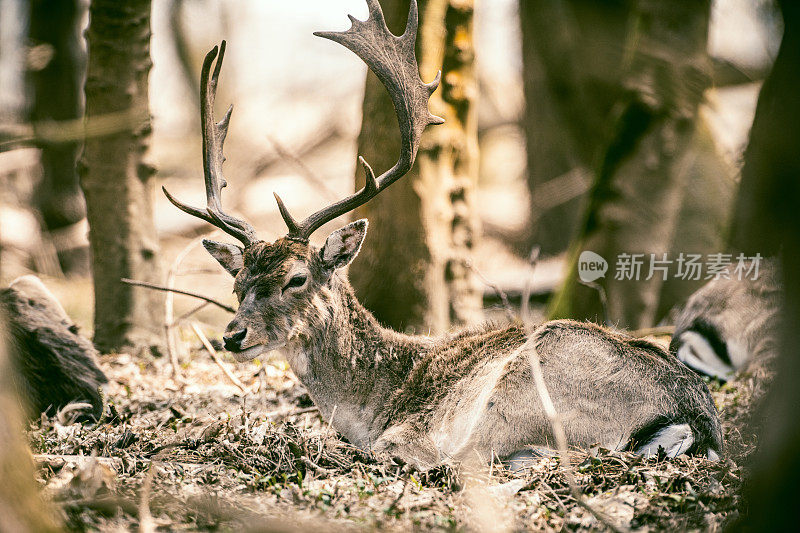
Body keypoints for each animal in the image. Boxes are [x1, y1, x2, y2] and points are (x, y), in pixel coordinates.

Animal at [166, 0, 720, 468]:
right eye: (237, 284)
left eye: (296, 278)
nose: (232, 335)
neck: (379, 399)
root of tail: (694, 418)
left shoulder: (413, 430)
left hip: (513, 397)